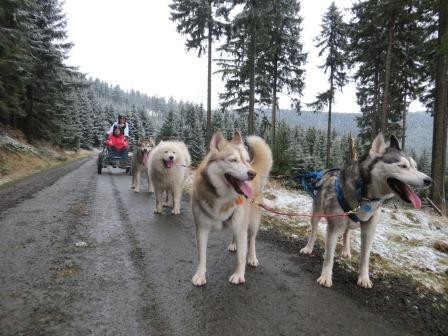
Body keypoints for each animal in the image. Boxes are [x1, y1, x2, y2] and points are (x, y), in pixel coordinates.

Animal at [190, 131, 272, 286]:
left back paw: (252, 257)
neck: (223, 199)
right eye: (233, 160)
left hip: (252, 222)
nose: (252, 174)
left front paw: (239, 274)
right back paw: (234, 245)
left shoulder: (241, 228)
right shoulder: (201, 229)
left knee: (252, 240)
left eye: (246, 160)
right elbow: (201, 256)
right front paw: (200, 275)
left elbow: (241, 256)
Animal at [300, 134, 432, 288]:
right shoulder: (334, 227)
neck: (365, 195)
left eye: (415, 167)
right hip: (316, 214)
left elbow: (365, 258)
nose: (429, 180)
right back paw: (308, 248)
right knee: (314, 231)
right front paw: (326, 277)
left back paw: (346, 250)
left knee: (347, 233)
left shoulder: (369, 230)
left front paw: (364, 278)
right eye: (403, 166)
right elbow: (328, 256)